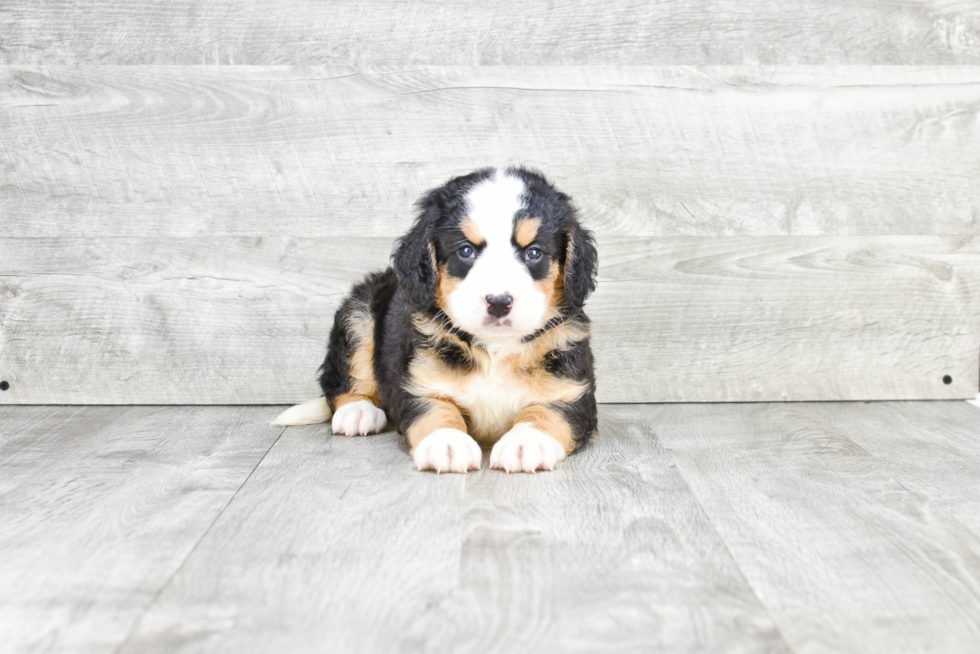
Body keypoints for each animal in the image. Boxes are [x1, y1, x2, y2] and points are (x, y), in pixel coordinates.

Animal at [272, 168, 600, 476]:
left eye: (533, 253)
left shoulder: (573, 390)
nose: (498, 302)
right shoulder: (417, 382)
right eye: (465, 250)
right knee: (340, 381)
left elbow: (546, 412)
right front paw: (447, 442)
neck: (496, 349)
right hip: (359, 314)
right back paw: (358, 410)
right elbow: (436, 409)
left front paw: (525, 442)